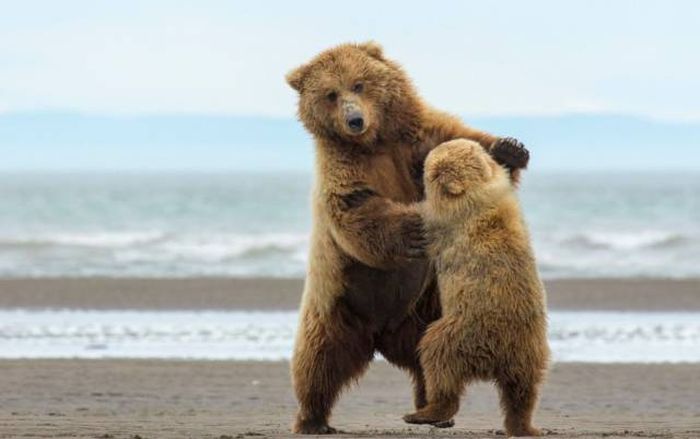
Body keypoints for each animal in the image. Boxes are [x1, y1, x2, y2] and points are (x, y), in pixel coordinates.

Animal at [284, 43, 532, 434]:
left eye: (359, 84)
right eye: (330, 94)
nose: (354, 120)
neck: (375, 142)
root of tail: (379, 333)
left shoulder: (418, 140)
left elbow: (461, 146)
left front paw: (509, 148)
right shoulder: (342, 167)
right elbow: (356, 206)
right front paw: (413, 228)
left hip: (422, 309)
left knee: (424, 360)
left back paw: (432, 409)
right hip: (336, 301)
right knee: (317, 360)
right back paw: (313, 419)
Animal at [404, 140, 552, 436]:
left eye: (430, 161)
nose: (425, 153)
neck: (475, 193)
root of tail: (493, 359)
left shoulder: (442, 221)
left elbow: (419, 216)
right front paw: (509, 150)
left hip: (462, 331)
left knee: (437, 358)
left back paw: (423, 413)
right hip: (529, 350)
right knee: (523, 391)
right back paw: (525, 426)